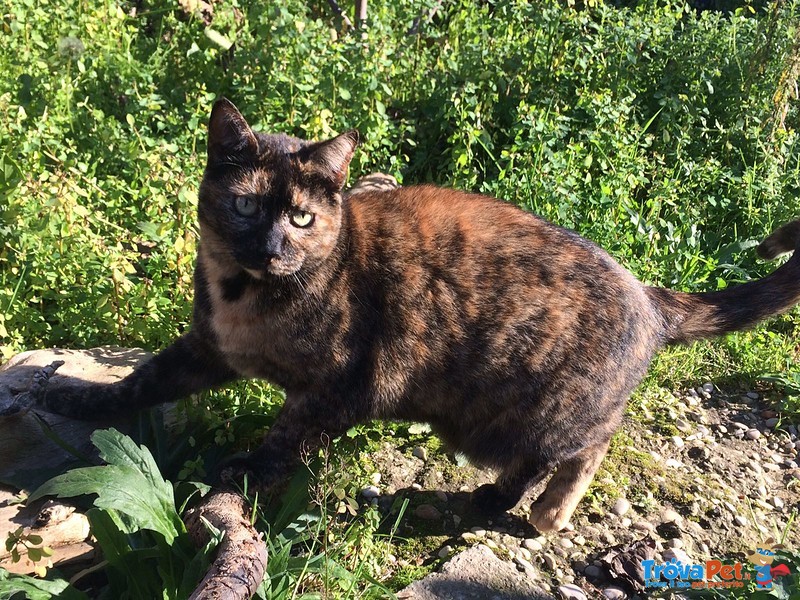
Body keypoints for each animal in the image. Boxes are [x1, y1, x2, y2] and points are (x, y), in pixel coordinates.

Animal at [39, 99, 800, 536]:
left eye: (301, 217)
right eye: (248, 205)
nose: (273, 246)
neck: (244, 296)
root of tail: (649, 293)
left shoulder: (344, 387)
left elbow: (286, 435)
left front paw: (244, 469)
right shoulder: (206, 347)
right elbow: (143, 379)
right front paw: (77, 398)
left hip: (523, 414)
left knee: (586, 446)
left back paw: (545, 511)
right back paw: (501, 502)